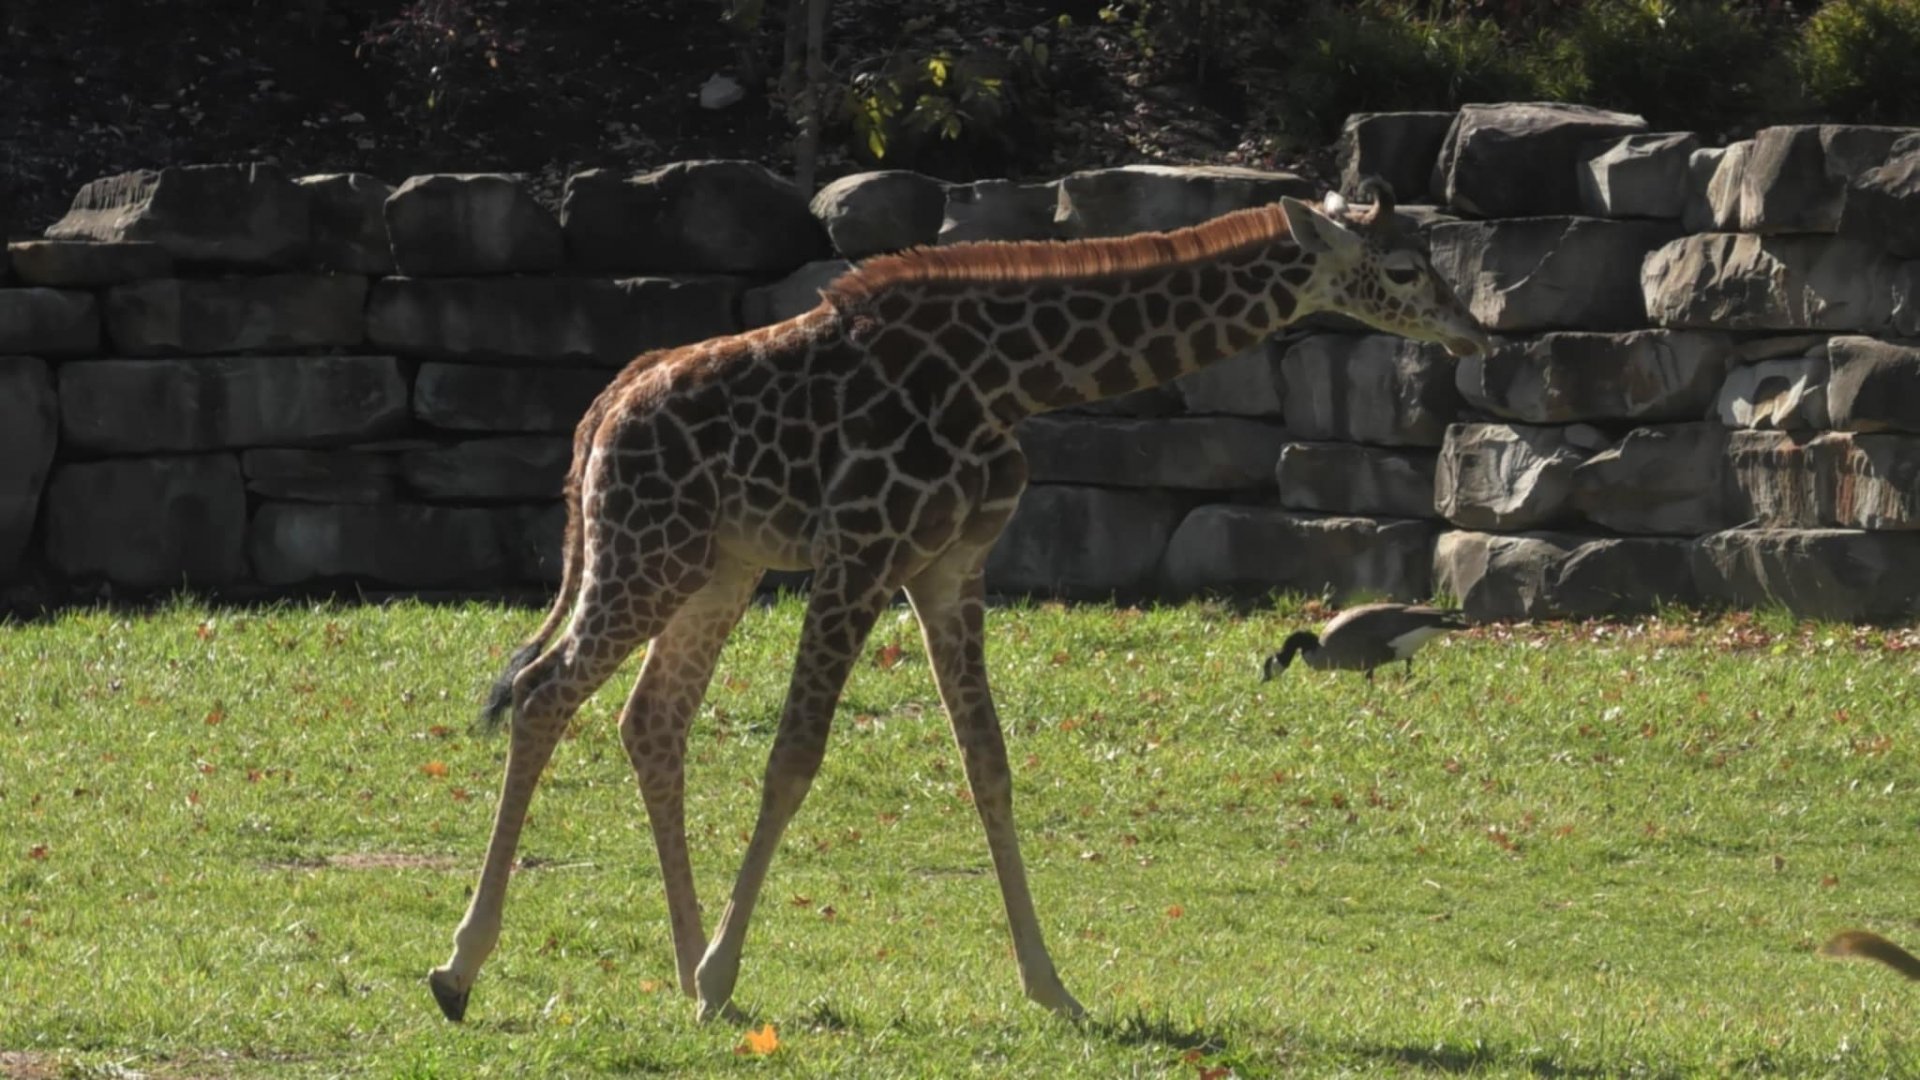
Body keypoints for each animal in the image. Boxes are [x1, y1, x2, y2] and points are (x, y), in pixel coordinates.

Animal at [427, 178, 1490, 1024]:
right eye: (1404, 269)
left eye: (1436, 262)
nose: (1472, 331)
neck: (1008, 377)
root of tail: (598, 414)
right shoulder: (861, 550)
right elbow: (794, 757)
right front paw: (729, 971)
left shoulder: (951, 564)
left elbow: (988, 762)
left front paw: (1054, 988)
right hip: (645, 554)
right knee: (546, 693)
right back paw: (463, 971)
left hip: (716, 566)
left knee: (649, 720)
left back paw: (682, 970)